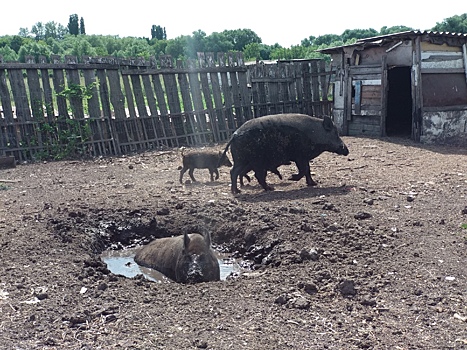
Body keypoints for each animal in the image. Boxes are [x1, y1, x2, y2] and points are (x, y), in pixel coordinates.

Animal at [221, 113, 350, 193]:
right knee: (252, 174)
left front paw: (313, 184)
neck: (316, 134)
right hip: (252, 160)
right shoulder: (300, 156)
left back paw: (237, 191)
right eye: (335, 133)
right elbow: (304, 170)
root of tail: (234, 135)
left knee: (234, 172)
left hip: (241, 160)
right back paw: (269, 189)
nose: (347, 151)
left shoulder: (303, 157)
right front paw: (291, 178)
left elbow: (308, 170)